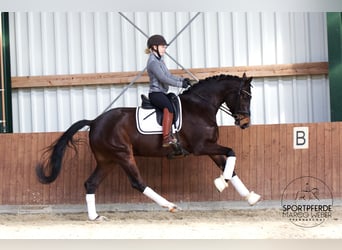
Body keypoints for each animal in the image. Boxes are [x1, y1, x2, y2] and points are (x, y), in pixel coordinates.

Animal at [36, 73, 260, 221]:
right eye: (244, 95)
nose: (245, 123)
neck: (201, 106)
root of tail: (95, 121)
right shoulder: (202, 146)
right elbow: (231, 153)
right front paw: (221, 183)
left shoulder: (210, 146)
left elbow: (229, 165)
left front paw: (250, 197)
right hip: (123, 154)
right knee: (137, 182)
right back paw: (169, 205)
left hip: (108, 160)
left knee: (91, 184)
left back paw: (95, 217)